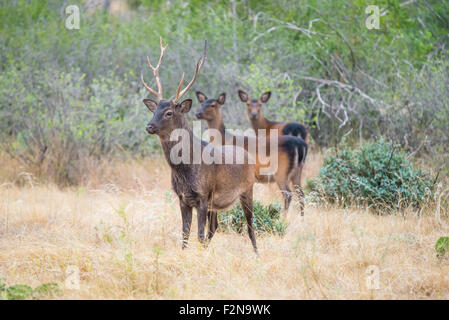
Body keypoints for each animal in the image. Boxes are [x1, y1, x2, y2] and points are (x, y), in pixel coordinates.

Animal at [141, 39, 260, 252]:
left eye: (169, 112)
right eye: (154, 111)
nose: (149, 126)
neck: (185, 168)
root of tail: (249, 156)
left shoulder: (203, 195)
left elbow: (199, 234)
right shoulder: (182, 198)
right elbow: (185, 234)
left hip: (247, 189)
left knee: (250, 227)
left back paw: (257, 254)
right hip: (218, 204)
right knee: (215, 227)